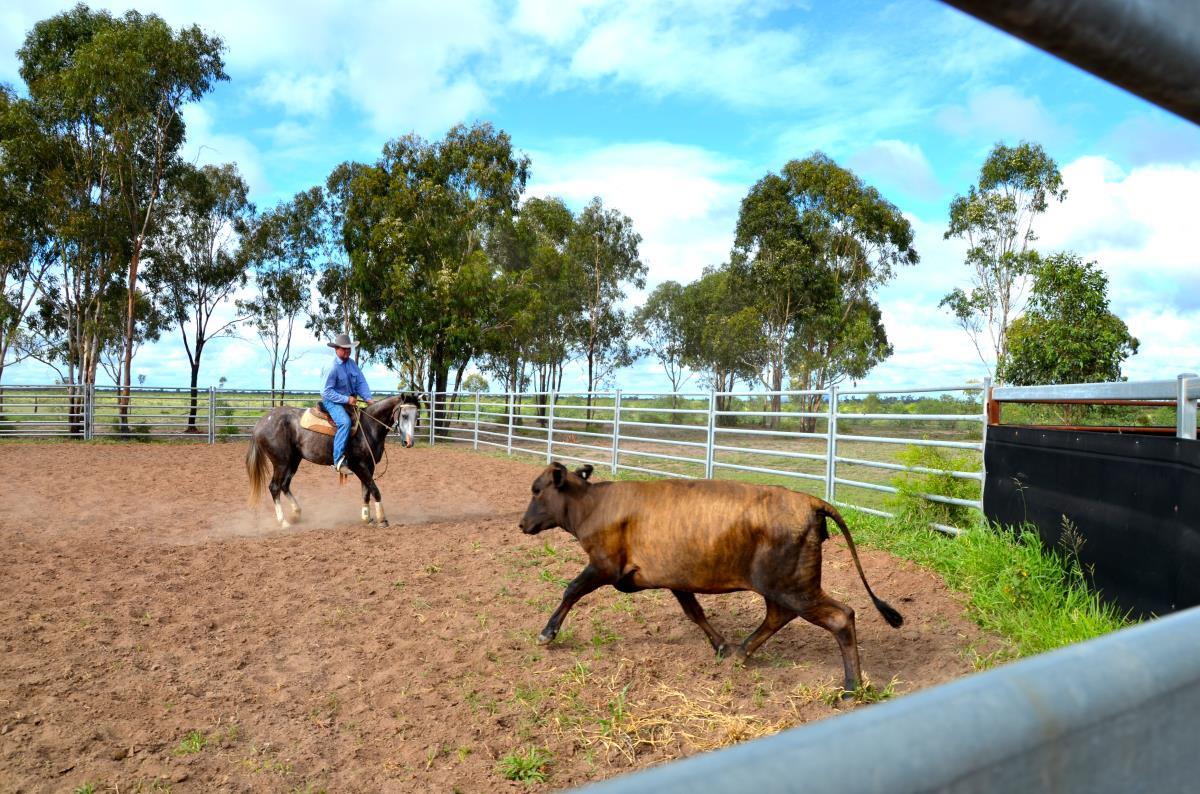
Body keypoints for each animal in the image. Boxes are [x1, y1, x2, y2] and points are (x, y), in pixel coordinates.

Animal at [245, 394, 421, 528]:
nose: (409, 442)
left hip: (293, 460)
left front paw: (366, 517)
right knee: (274, 487)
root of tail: (261, 423)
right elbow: (375, 490)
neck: (368, 427)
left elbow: (366, 491)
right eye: (404, 415)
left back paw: (296, 513)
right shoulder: (358, 466)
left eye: (416, 416)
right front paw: (382, 519)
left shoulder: (368, 466)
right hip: (281, 462)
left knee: (284, 485)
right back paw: (283, 522)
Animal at [518, 462, 904, 695]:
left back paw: (852, 685)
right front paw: (720, 645)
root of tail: (809, 501)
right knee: (777, 616)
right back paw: (741, 653)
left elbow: (571, 590)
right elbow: (694, 612)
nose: (522, 524)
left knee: (841, 617)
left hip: (795, 586)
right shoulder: (675, 579)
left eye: (537, 490)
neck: (594, 506)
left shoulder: (603, 566)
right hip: (784, 586)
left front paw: (547, 633)